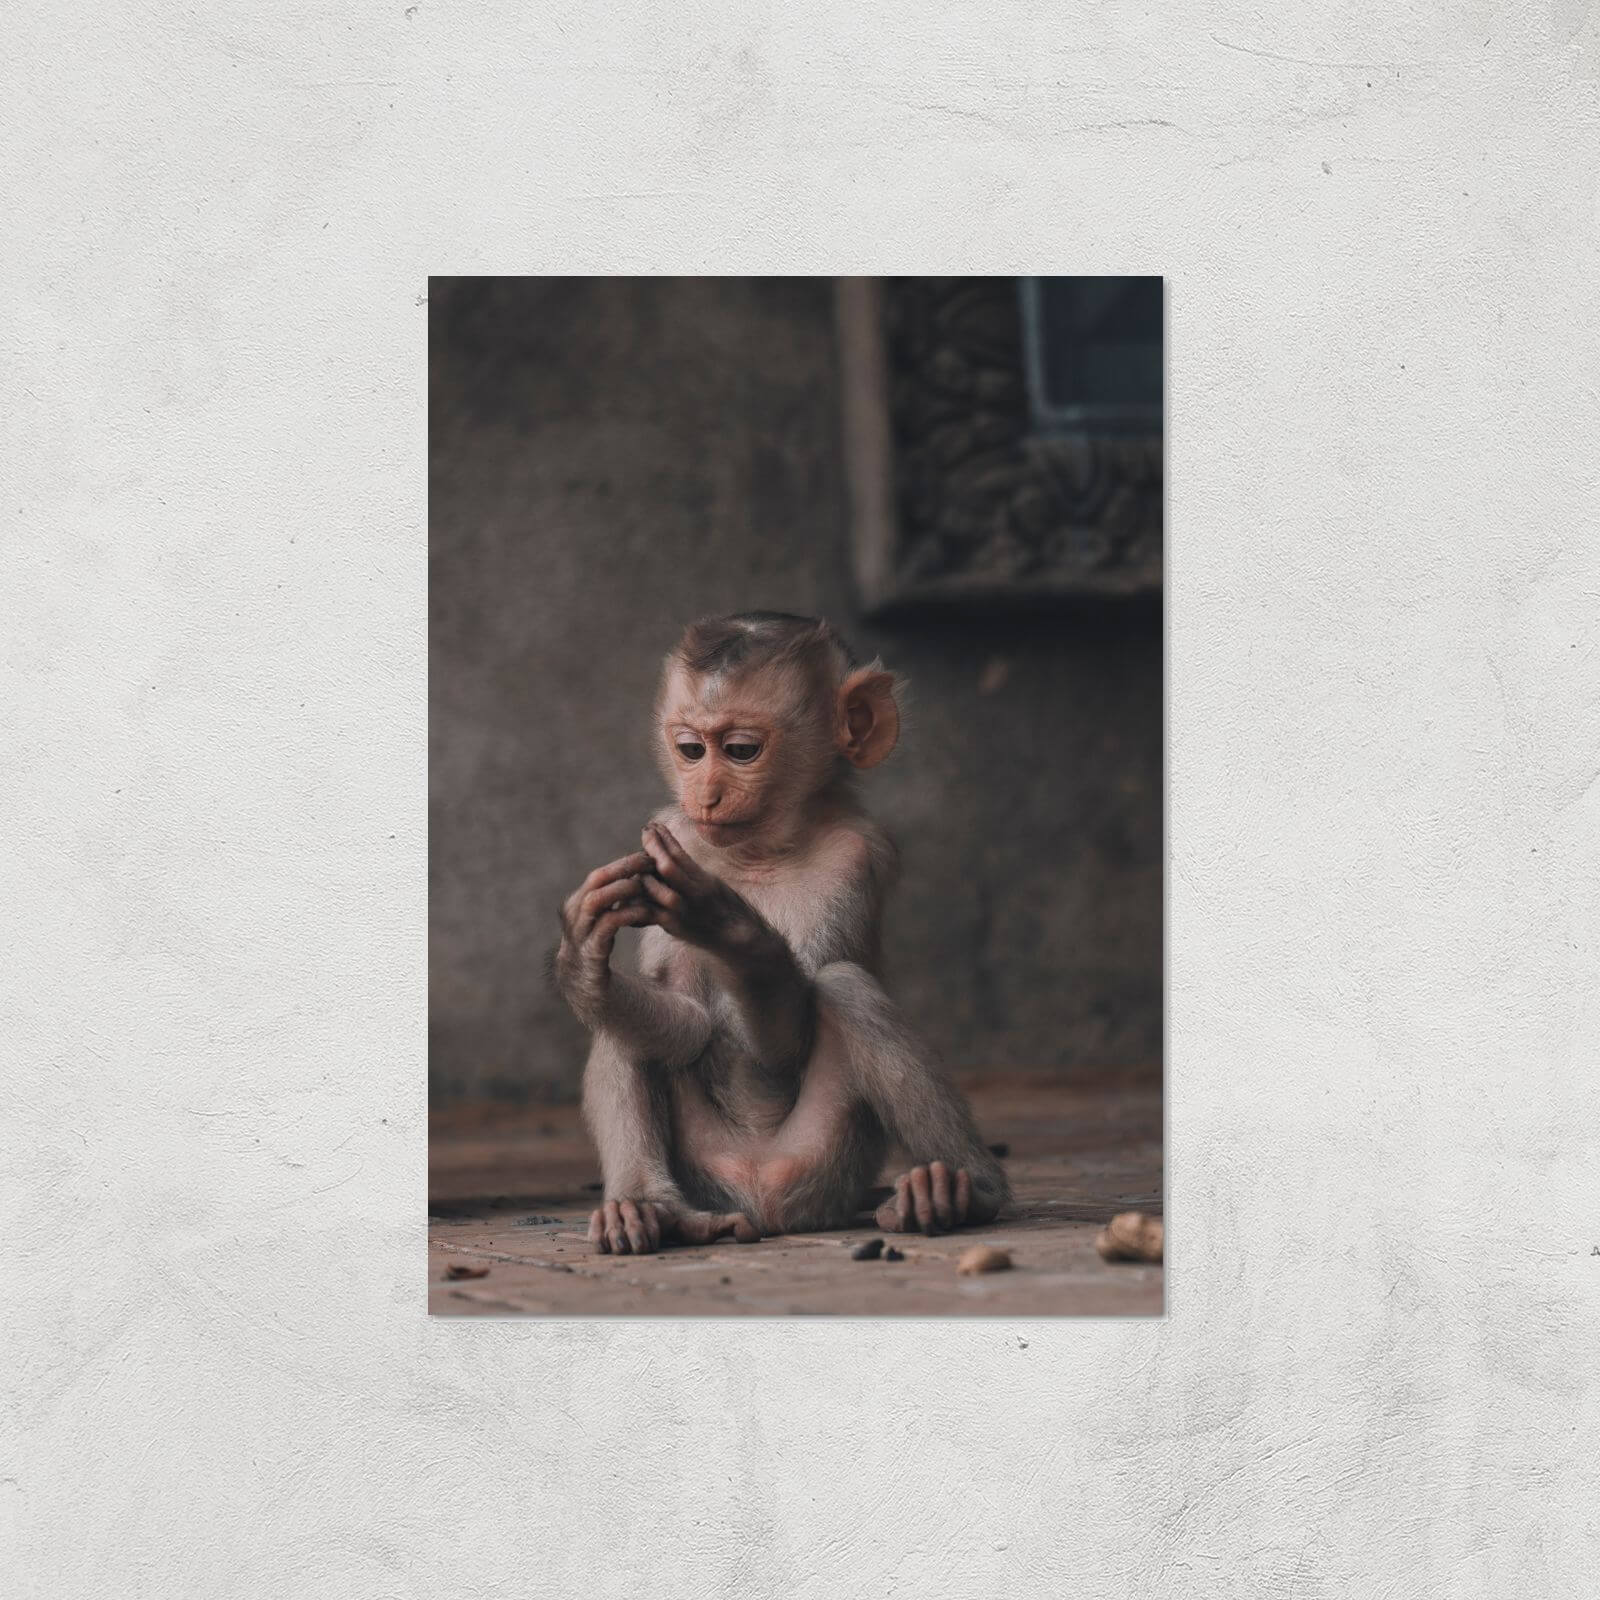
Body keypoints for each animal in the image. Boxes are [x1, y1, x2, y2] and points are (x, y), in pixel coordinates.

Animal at [552, 610, 1010, 1254]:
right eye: (690, 750)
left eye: (741, 750)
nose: (705, 794)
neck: (760, 852)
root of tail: (761, 1203)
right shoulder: (673, 830)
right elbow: (687, 1022)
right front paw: (583, 963)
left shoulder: (855, 854)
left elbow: (784, 1045)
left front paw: (729, 928)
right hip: (705, 1167)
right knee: (624, 1031)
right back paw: (652, 1208)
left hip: (827, 1162)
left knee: (845, 987)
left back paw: (964, 1190)